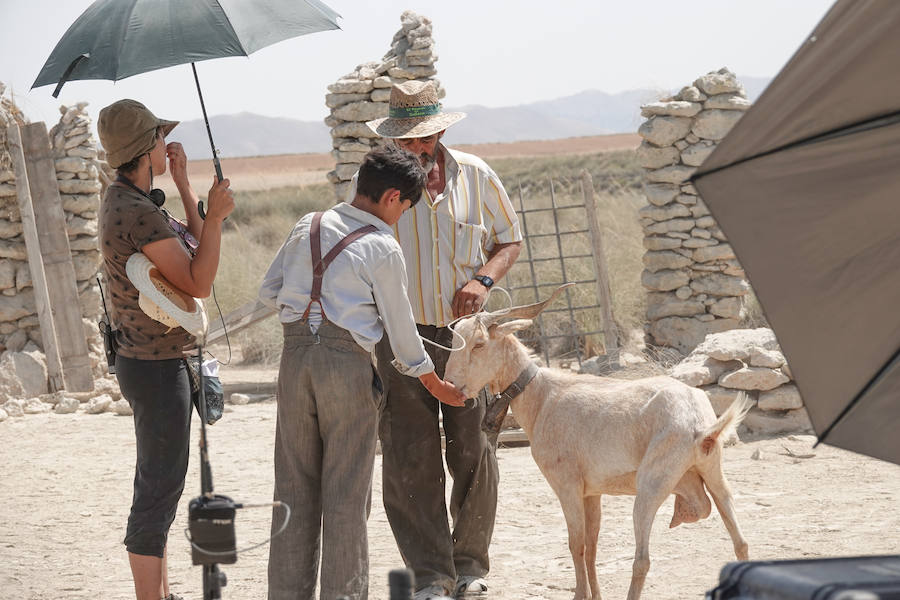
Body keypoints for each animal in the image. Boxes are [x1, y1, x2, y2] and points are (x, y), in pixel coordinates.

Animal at [444, 286, 752, 600]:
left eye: (479, 344)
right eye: (454, 342)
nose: (451, 386)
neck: (542, 398)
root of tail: (702, 426)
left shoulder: (566, 484)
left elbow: (576, 543)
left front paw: (580, 594)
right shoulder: (591, 492)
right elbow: (591, 547)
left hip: (651, 483)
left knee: (643, 559)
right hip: (713, 470)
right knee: (738, 539)